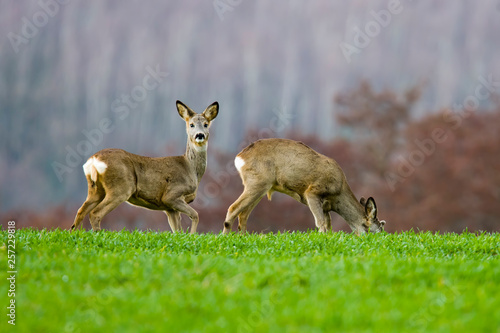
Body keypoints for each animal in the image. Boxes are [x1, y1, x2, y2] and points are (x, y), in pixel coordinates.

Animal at [72, 100, 219, 232]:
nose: (199, 135)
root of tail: (93, 160)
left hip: (95, 189)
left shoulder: (169, 208)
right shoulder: (171, 195)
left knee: (80, 212)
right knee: (95, 213)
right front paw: (192, 236)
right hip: (121, 188)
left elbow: (177, 230)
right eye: (191, 125)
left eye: (206, 124)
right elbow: (195, 215)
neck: (190, 168)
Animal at [223, 137, 386, 233]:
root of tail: (240, 157)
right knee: (233, 208)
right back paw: (226, 237)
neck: (339, 192)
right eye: (376, 231)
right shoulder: (312, 191)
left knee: (243, 214)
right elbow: (320, 223)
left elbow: (328, 224)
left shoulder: (325, 206)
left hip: (261, 186)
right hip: (257, 182)